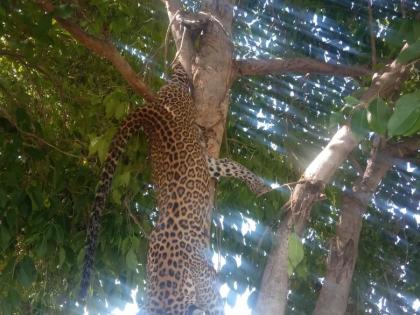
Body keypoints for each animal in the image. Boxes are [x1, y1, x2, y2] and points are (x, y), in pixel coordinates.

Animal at [79, 60, 270, 314]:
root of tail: (156, 108)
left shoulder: (211, 297)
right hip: (204, 163)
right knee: (227, 163)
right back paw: (259, 185)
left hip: (181, 96)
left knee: (181, 72)